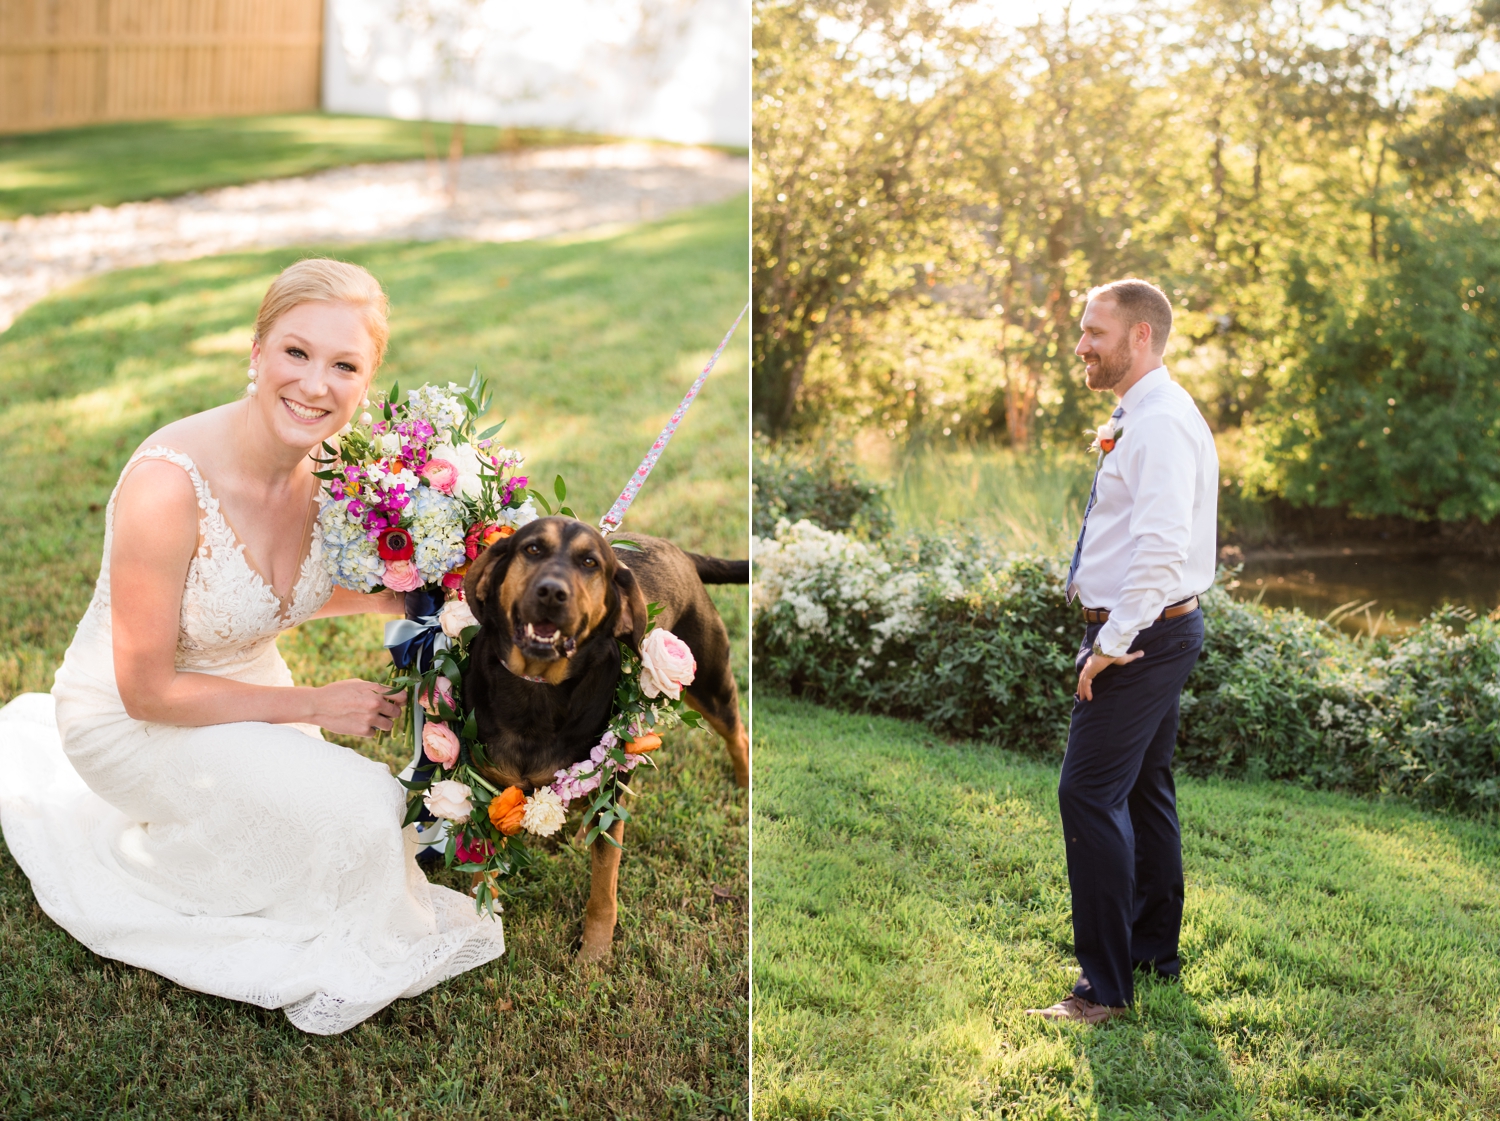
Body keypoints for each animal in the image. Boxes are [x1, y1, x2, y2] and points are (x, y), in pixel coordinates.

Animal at [462, 516, 750, 966]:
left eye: (590, 563)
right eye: (532, 549)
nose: (552, 592)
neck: (537, 687)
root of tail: (679, 551)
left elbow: (603, 890)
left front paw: (593, 956)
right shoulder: (485, 792)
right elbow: (484, 870)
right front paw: (480, 930)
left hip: (710, 682)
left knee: (738, 733)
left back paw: (744, 784)